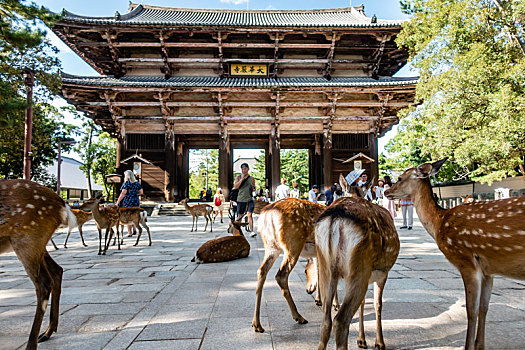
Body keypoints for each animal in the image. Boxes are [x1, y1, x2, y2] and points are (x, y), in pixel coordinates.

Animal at [0, 179, 77, 348]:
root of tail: (62, 205)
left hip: (28, 238)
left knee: (44, 284)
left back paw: (32, 343)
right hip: (37, 243)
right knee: (57, 270)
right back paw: (47, 332)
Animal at [316, 197, 398, 350]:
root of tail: (335, 218)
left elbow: (364, 302)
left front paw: (361, 340)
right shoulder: (383, 273)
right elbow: (378, 304)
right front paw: (380, 343)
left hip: (326, 267)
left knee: (325, 321)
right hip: (359, 265)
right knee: (340, 321)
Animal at [382, 159, 524, 350]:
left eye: (399, 177)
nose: (385, 191)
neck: (439, 222)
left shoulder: (466, 260)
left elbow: (471, 310)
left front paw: (468, 346)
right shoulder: (489, 270)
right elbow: (484, 308)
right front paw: (480, 345)